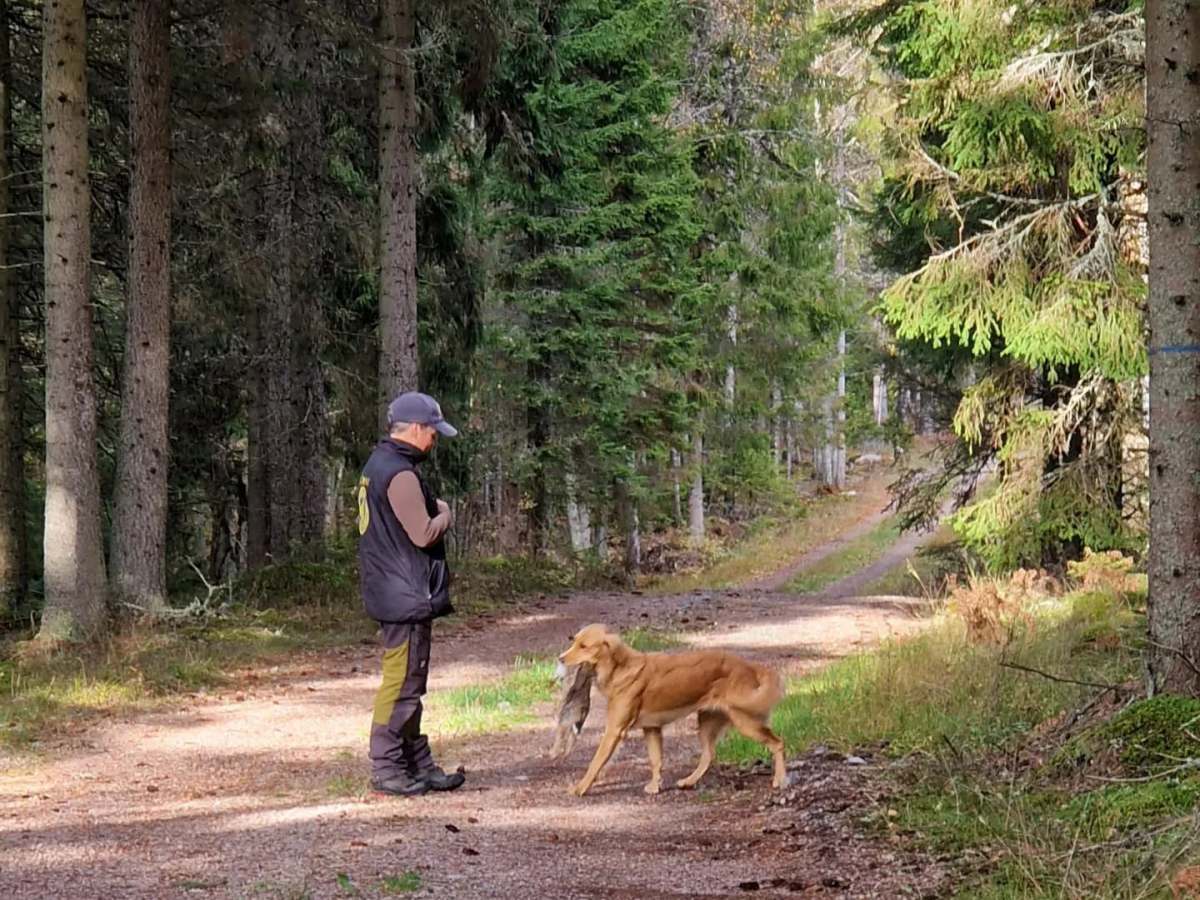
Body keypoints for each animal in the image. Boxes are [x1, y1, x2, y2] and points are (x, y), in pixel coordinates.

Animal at [558, 624, 788, 797]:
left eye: (584, 646)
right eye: (573, 641)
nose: (560, 658)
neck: (619, 668)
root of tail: (750, 667)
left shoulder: (615, 730)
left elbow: (595, 762)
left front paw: (580, 788)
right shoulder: (651, 728)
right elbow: (656, 759)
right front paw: (655, 786)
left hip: (745, 721)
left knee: (778, 743)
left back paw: (780, 779)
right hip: (707, 720)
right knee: (709, 754)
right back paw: (688, 781)